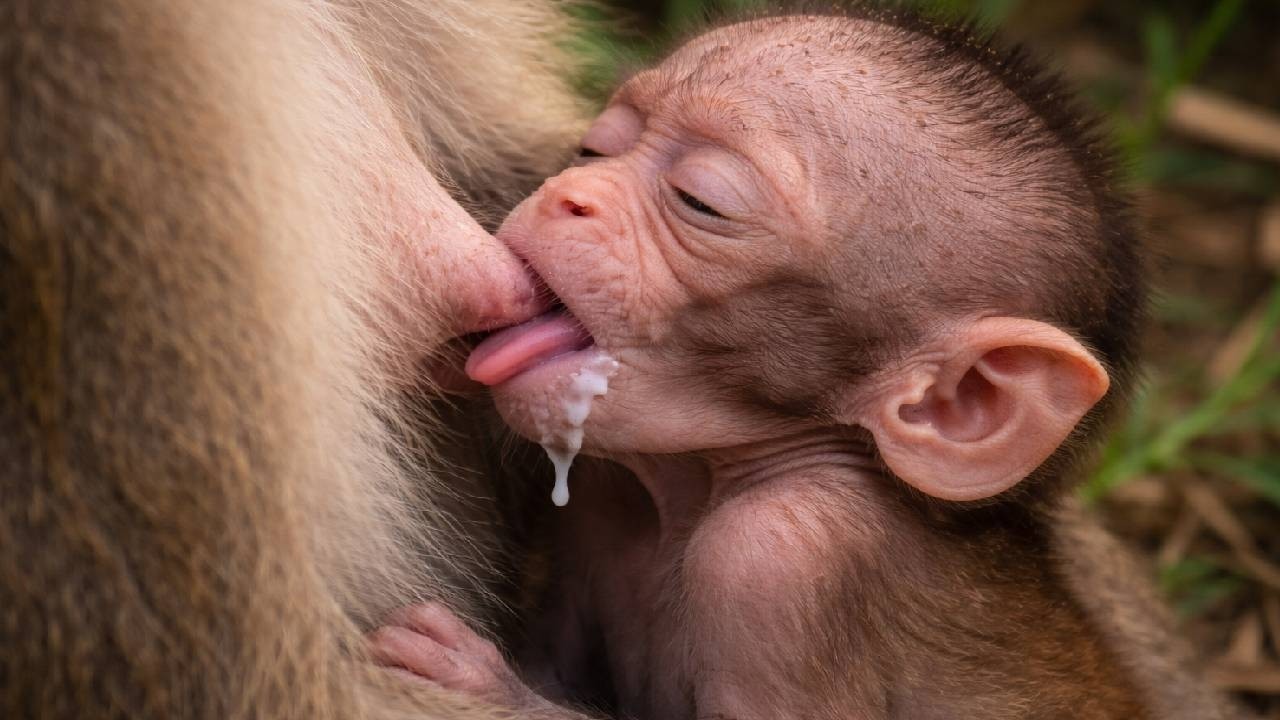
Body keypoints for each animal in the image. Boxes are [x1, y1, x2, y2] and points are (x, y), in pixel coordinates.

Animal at [367, 10, 1251, 720]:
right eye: (596, 147)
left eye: (702, 201)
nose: (565, 196)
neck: (706, 483)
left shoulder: (784, 558)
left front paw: (476, 679)